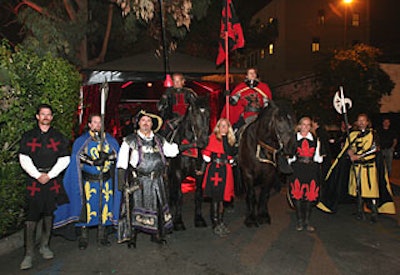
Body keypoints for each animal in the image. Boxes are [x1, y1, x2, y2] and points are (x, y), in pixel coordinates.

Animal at [166, 97, 211, 231]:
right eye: (195, 114)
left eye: (208, 115)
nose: (203, 141)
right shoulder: (177, 174)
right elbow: (180, 195)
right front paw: (178, 221)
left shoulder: (200, 173)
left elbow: (198, 194)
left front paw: (199, 218)